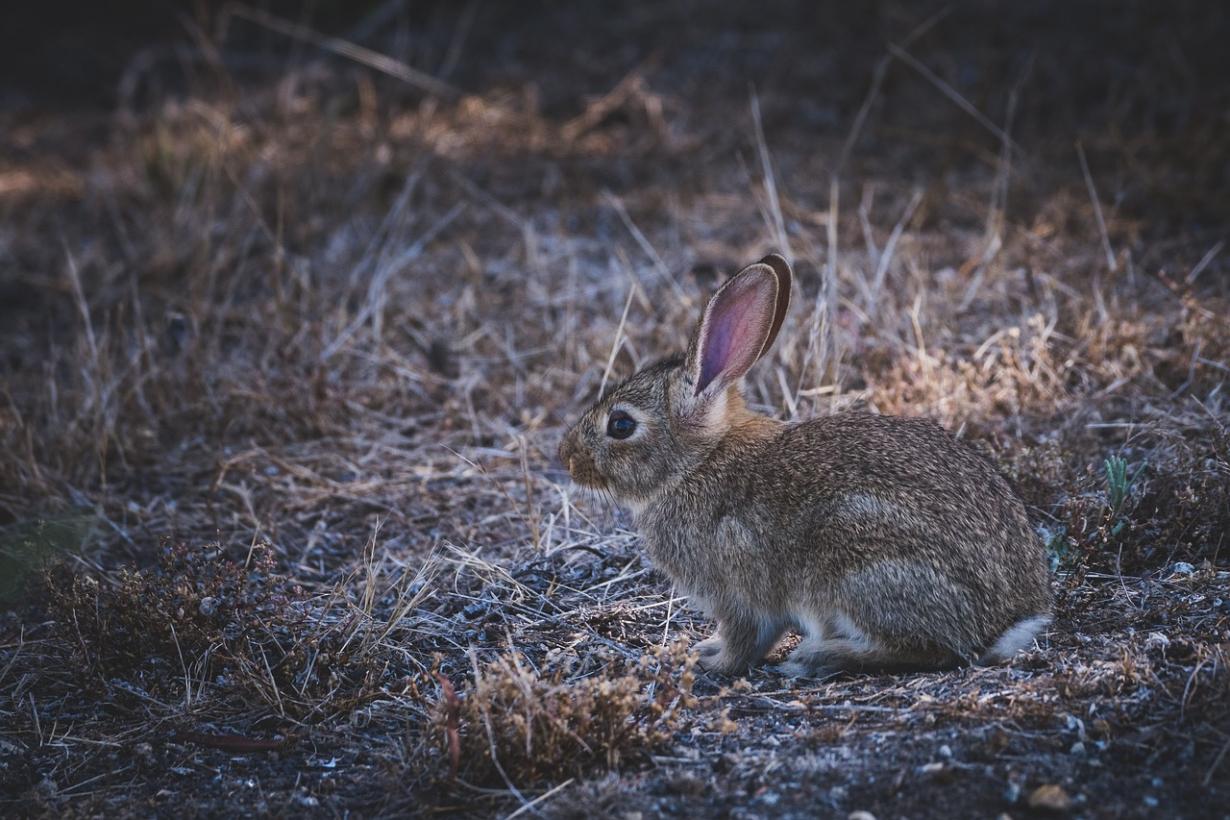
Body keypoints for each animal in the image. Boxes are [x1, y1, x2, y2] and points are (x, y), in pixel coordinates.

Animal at [558, 253, 1047, 678]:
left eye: (620, 425)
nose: (568, 458)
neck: (696, 464)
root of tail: (1002, 621)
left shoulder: (736, 593)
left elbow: (743, 641)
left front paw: (708, 660)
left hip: (857, 559)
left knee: (928, 649)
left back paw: (819, 656)